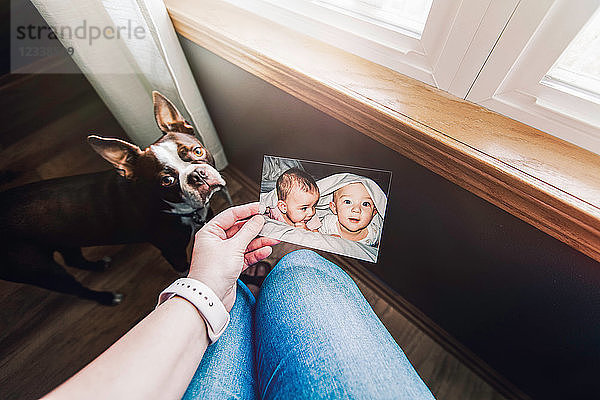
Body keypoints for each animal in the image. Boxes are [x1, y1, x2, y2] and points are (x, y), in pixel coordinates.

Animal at [0, 90, 230, 304]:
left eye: (198, 151)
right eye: (167, 180)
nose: (197, 175)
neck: (179, 210)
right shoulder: (173, 252)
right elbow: (186, 270)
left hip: (66, 239)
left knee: (73, 260)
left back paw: (98, 265)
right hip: (41, 270)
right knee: (74, 287)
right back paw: (106, 298)